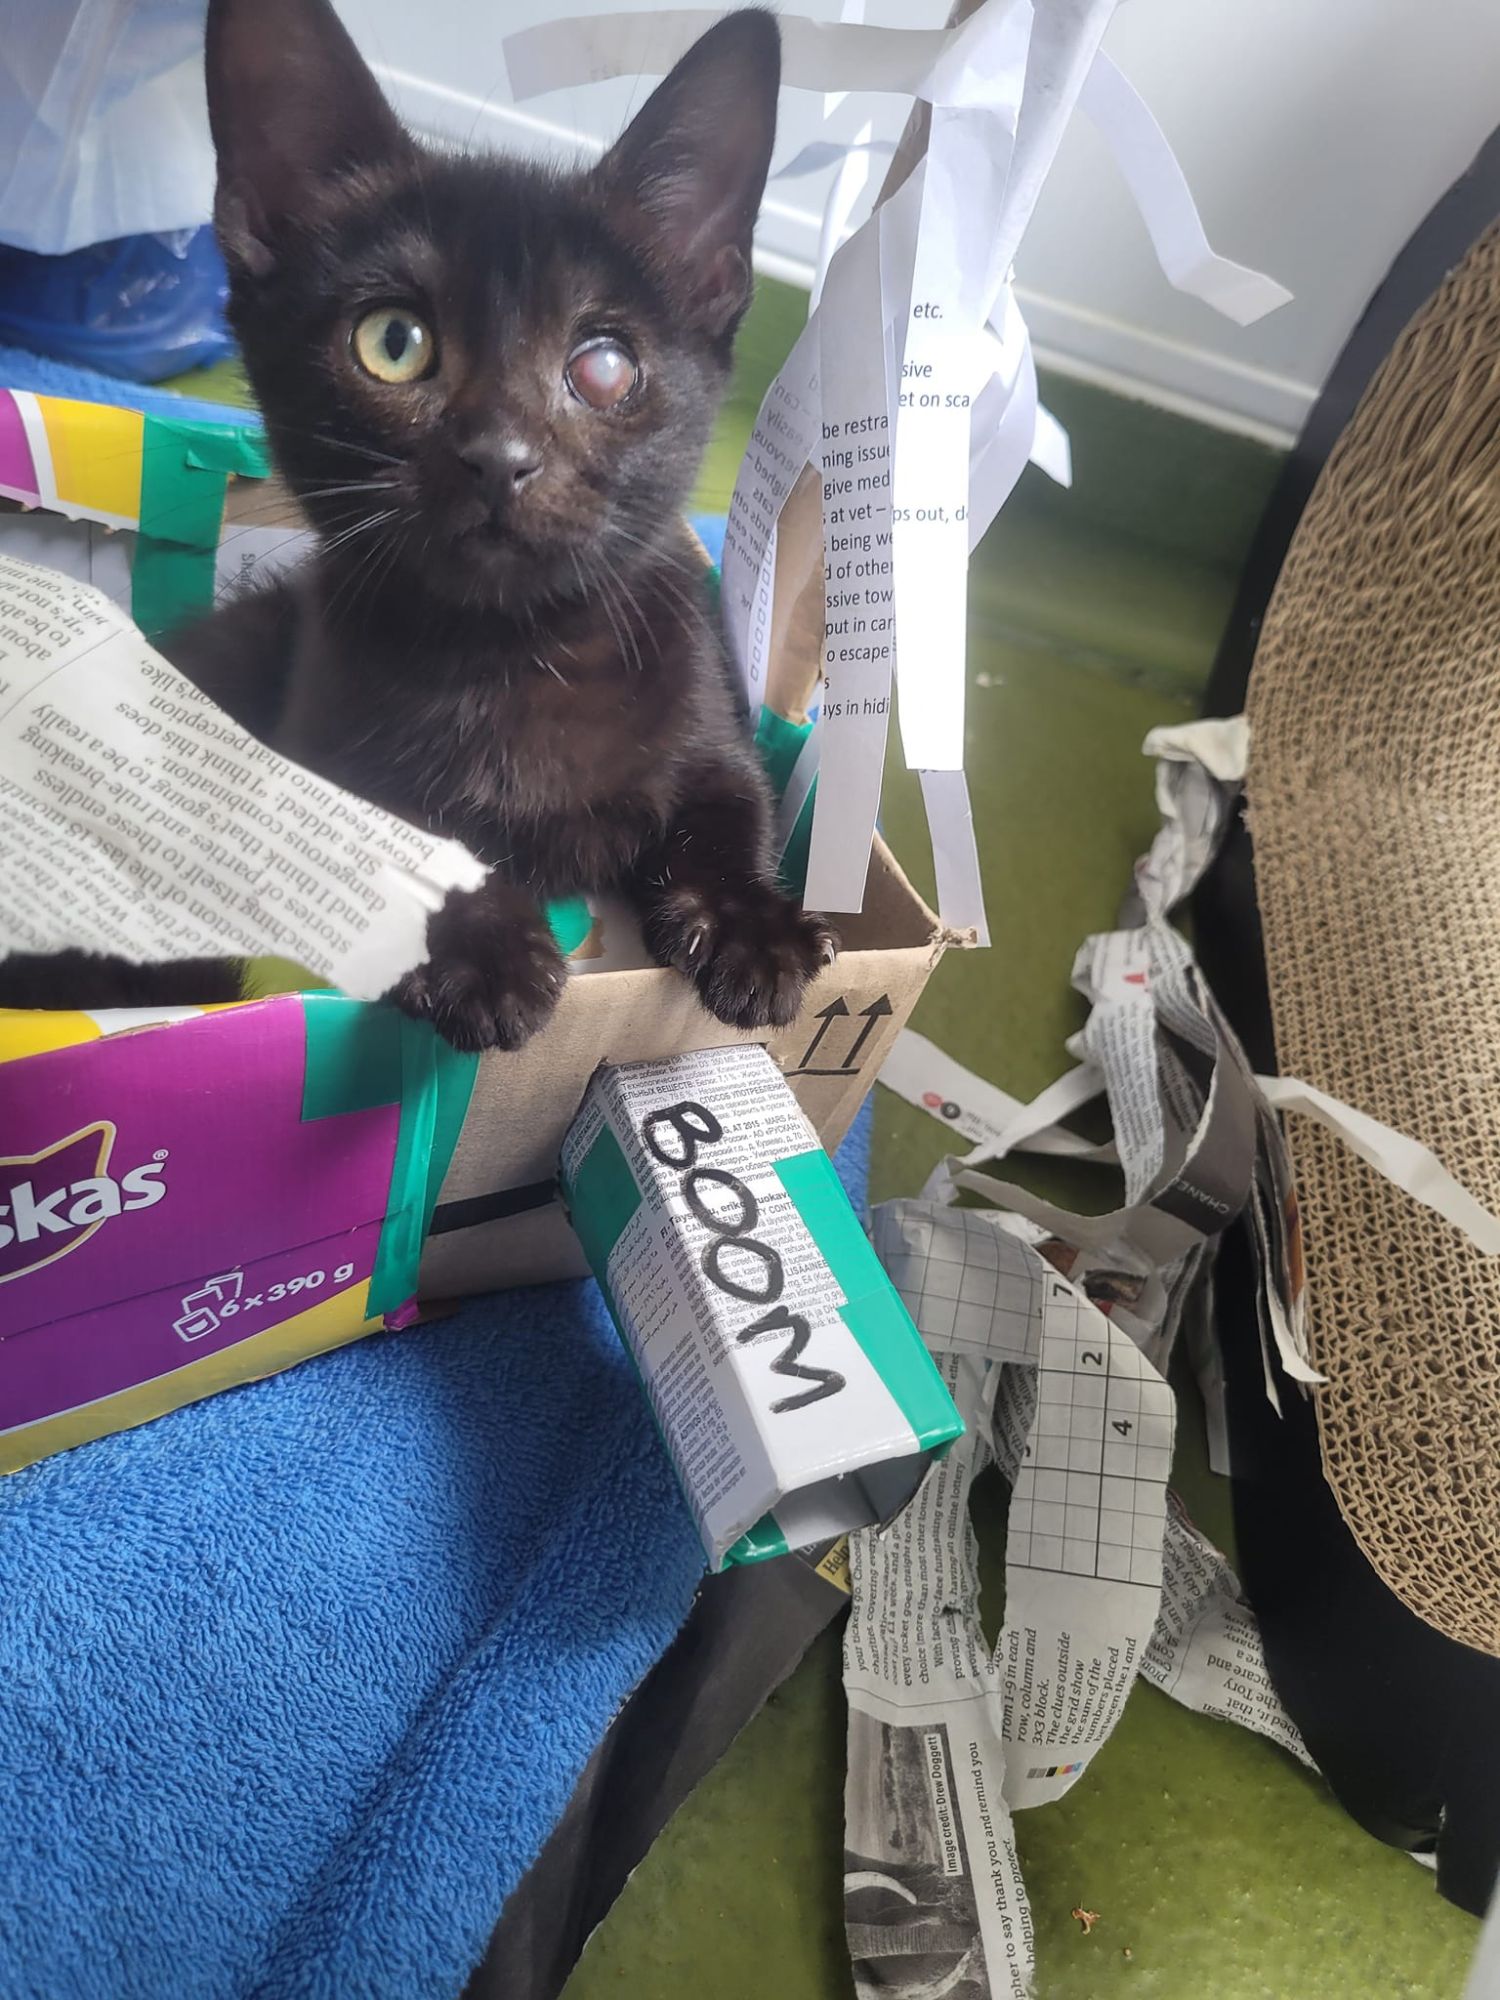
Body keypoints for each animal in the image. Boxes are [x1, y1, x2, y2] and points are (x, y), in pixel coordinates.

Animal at [148, 0, 840, 1056]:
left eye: (605, 366)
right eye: (393, 342)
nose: (499, 456)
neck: (516, 653)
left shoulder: (704, 702)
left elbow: (738, 799)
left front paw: (754, 929)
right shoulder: (314, 748)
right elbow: (391, 831)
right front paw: (480, 953)